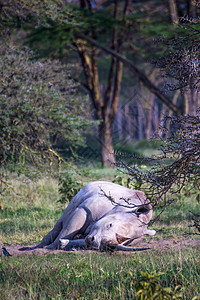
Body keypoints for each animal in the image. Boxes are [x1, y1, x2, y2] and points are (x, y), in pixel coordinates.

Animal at [19, 180, 155, 251]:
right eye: (110, 225)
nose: (94, 242)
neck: (123, 209)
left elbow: (78, 240)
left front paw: (63, 244)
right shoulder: (84, 210)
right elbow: (68, 229)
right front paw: (50, 247)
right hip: (78, 198)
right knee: (61, 223)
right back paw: (35, 247)